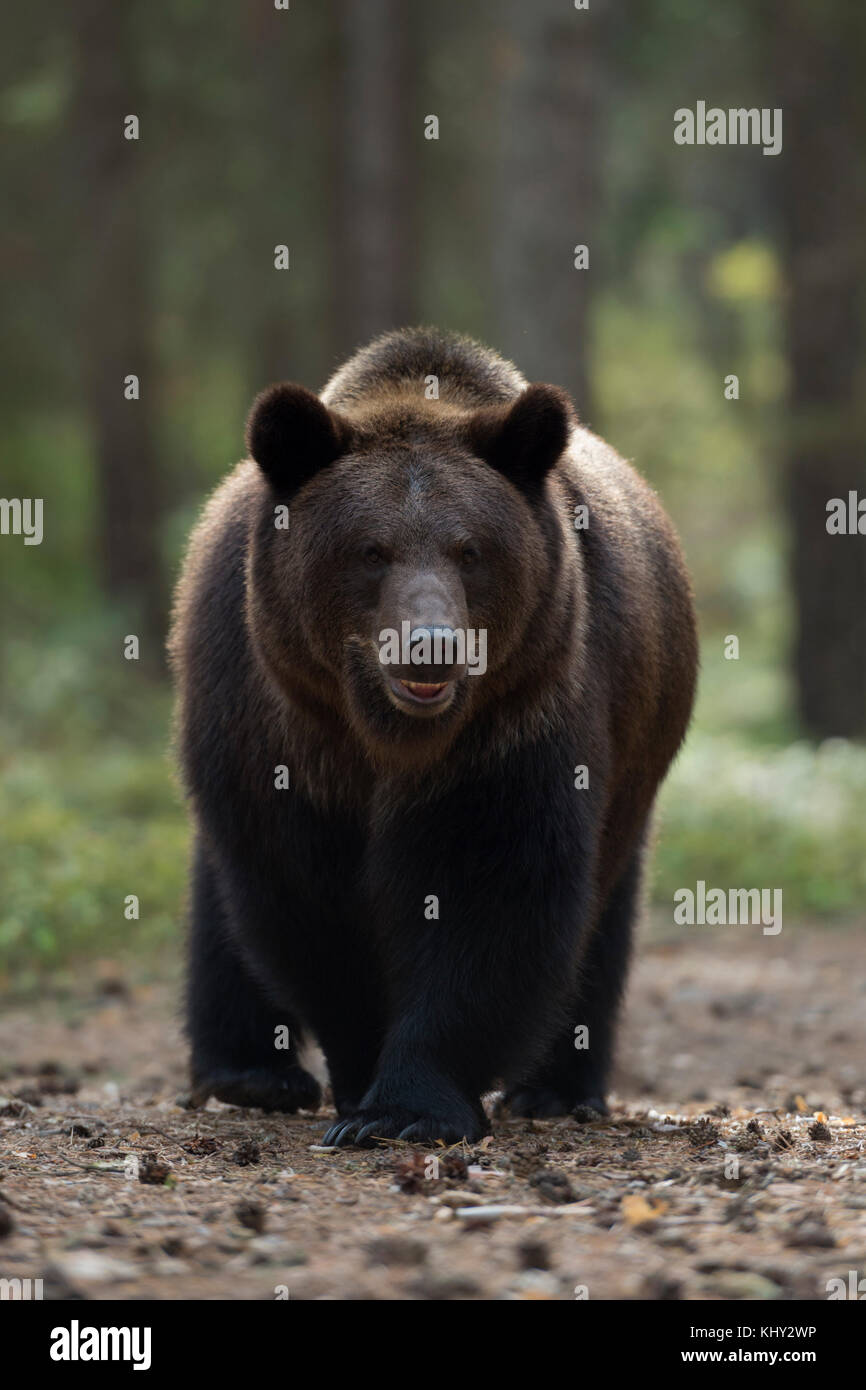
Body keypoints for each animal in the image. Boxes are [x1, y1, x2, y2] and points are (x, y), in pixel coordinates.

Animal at [169, 328, 697, 1150]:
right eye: (370, 549)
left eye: (470, 549)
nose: (431, 646)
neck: (385, 736)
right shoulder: (277, 725)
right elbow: (304, 897)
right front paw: (360, 1081)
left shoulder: (517, 718)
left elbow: (490, 890)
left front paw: (407, 1104)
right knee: (223, 899)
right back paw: (250, 1073)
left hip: (634, 754)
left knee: (604, 913)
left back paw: (557, 1089)